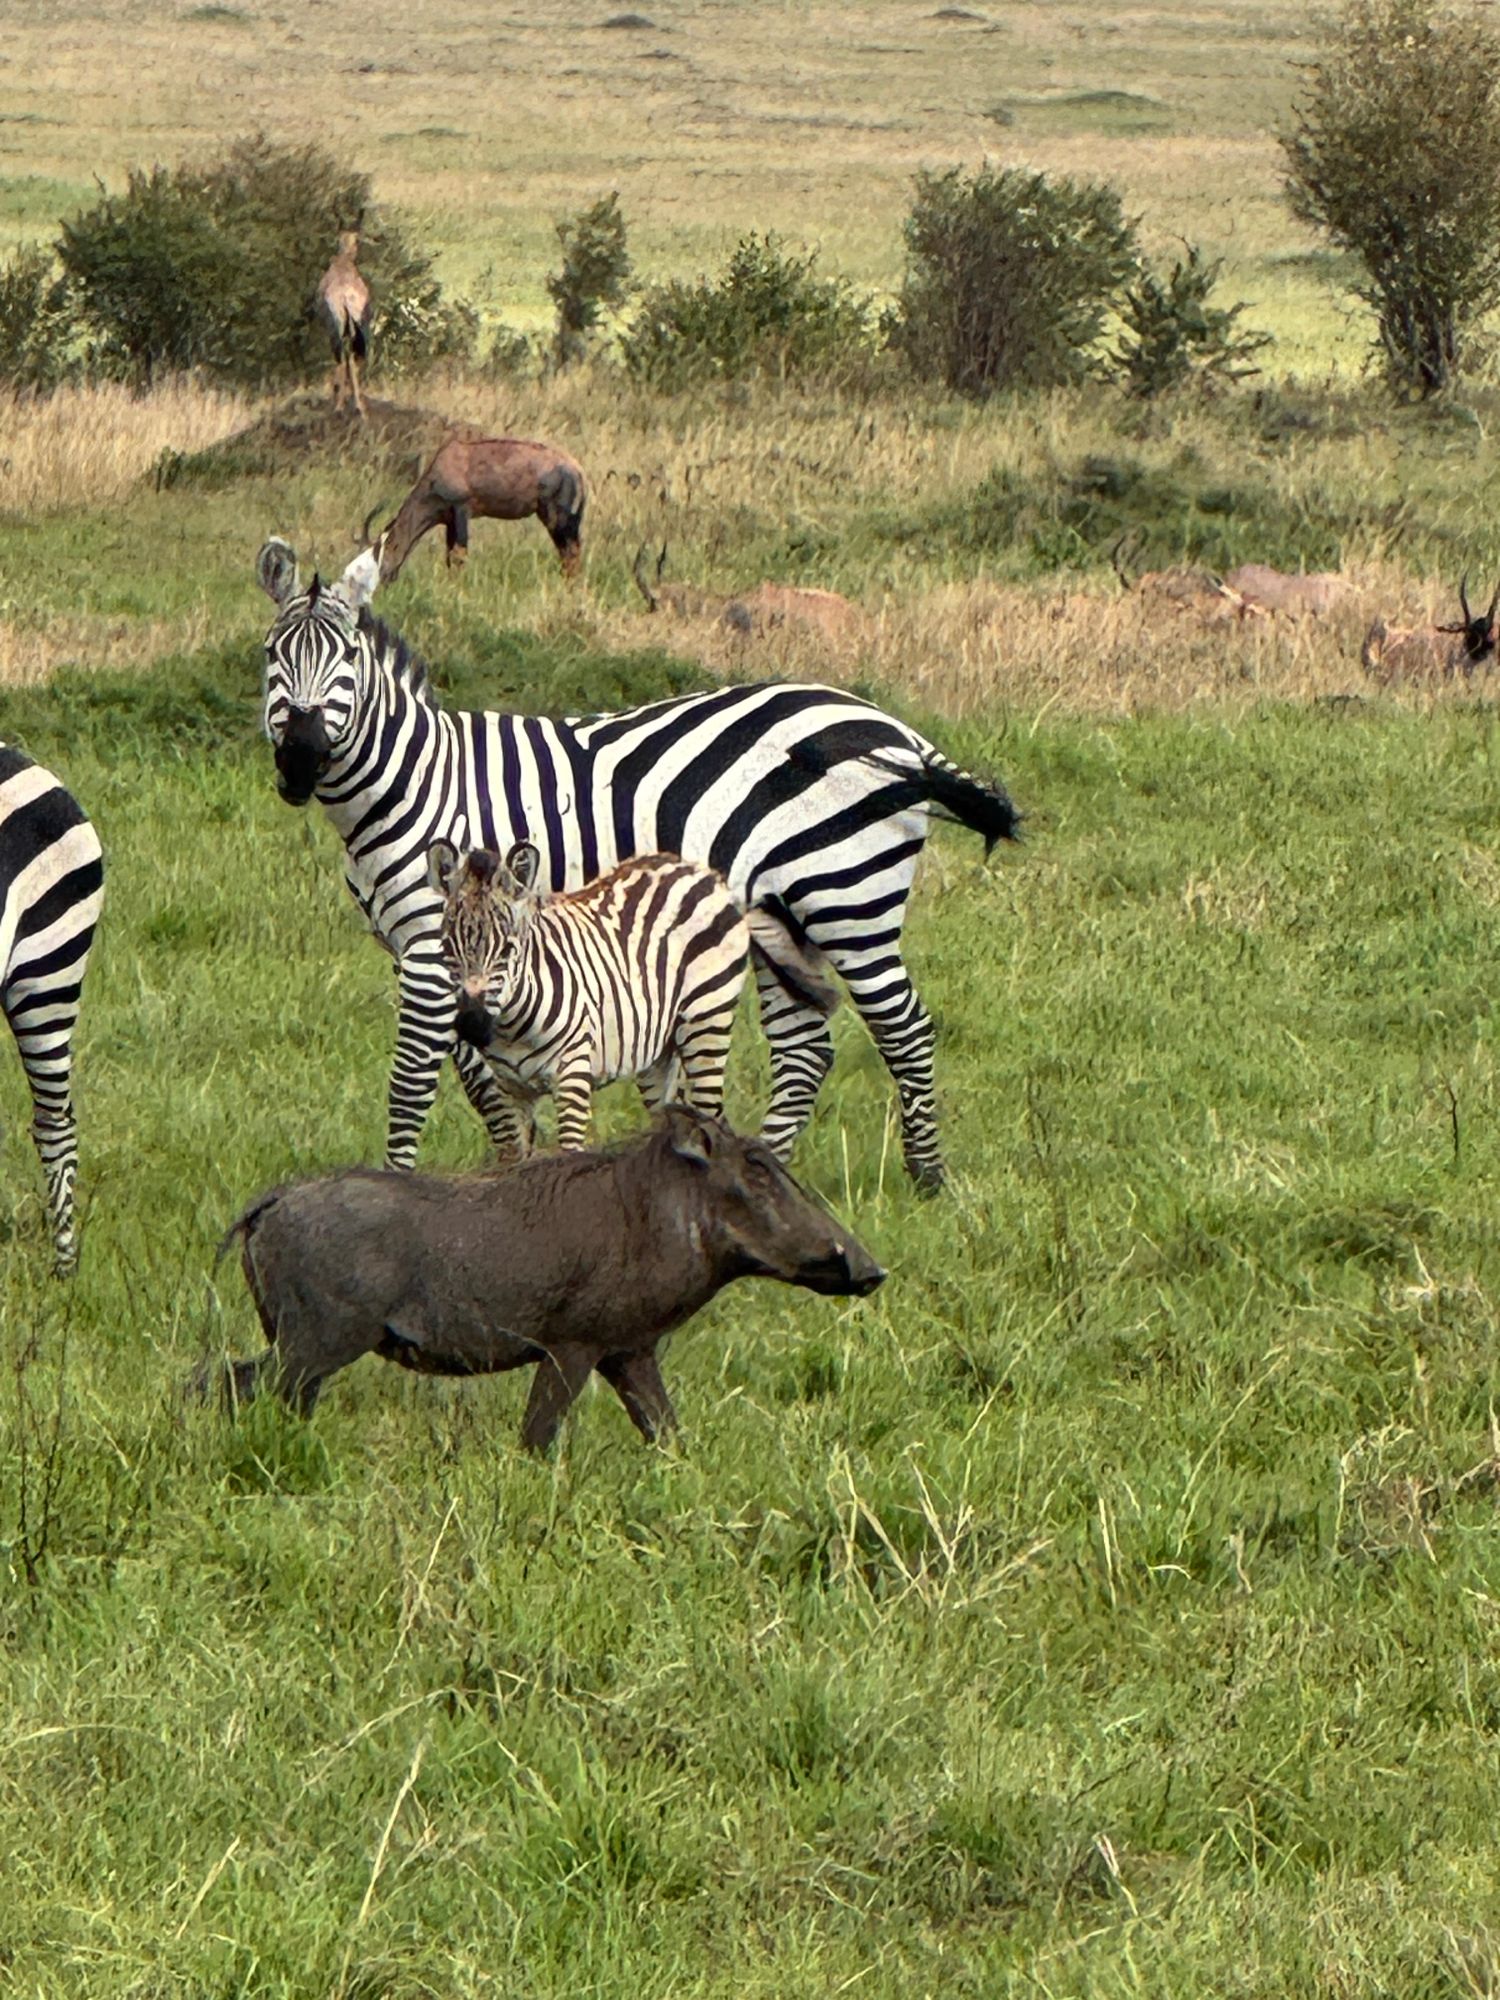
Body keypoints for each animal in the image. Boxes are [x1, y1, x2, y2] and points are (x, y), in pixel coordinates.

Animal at [316, 230, 372, 418]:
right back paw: (357, 406)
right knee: (353, 357)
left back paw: (341, 406)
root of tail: (344, 295)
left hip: (340, 329)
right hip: (356, 328)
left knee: (343, 357)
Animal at [371, 435, 586, 581]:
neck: (447, 461)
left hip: (557, 518)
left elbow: (459, 554)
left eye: (386, 548)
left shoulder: (461, 510)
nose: (384, 579)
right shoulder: (450, 520)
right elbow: (449, 555)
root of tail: (576, 469)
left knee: (571, 552)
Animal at [431, 840, 840, 1150]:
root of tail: (707, 873)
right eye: (447, 947)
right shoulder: (510, 1088)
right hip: (658, 1051)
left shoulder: (573, 1073)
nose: (472, 1024)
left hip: (707, 1020)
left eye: (507, 950)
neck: (513, 1026)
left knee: (710, 1113)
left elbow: (569, 1151)